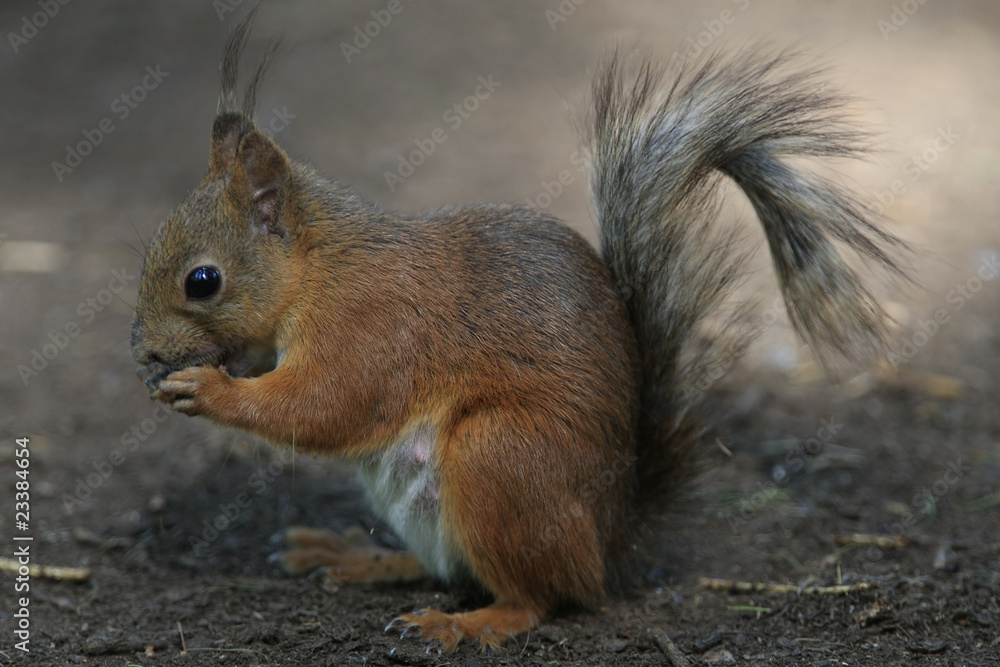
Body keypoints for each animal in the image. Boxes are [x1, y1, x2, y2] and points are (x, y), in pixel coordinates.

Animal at [131, 9, 906, 653]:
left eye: (203, 280)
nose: (141, 349)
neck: (323, 269)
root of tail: (610, 537)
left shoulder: (375, 327)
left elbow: (327, 405)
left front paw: (208, 389)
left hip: (498, 455)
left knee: (540, 596)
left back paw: (465, 622)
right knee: (442, 564)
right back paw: (355, 555)